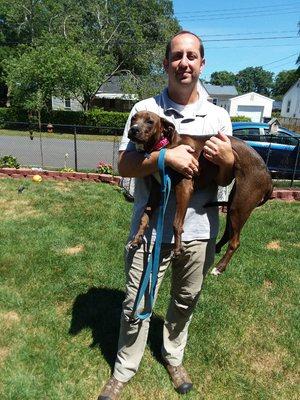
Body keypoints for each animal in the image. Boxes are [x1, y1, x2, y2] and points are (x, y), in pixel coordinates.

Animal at [126, 111, 272, 276]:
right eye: (134, 118)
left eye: (150, 121)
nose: (133, 129)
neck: (163, 146)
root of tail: (268, 177)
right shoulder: (157, 190)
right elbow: (144, 217)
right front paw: (136, 241)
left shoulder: (184, 188)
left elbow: (177, 223)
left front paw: (177, 249)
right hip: (234, 204)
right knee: (228, 233)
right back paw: (216, 249)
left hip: (240, 207)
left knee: (235, 241)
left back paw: (219, 268)